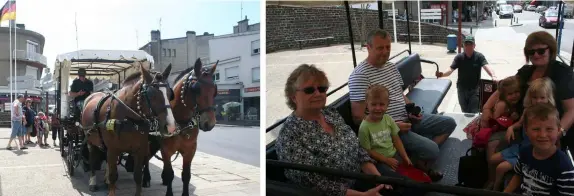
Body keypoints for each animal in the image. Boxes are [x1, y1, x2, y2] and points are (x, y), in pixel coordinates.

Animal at [80, 63, 177, 195]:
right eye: (151, 94)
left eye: (169, 94)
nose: (170, 126)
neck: (129, 120)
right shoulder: (113, 149)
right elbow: (113, 175)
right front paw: (110, 187)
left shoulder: (139, 150)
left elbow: (137, 176)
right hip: (90, 140)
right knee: (93, 159)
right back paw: (93, 181)